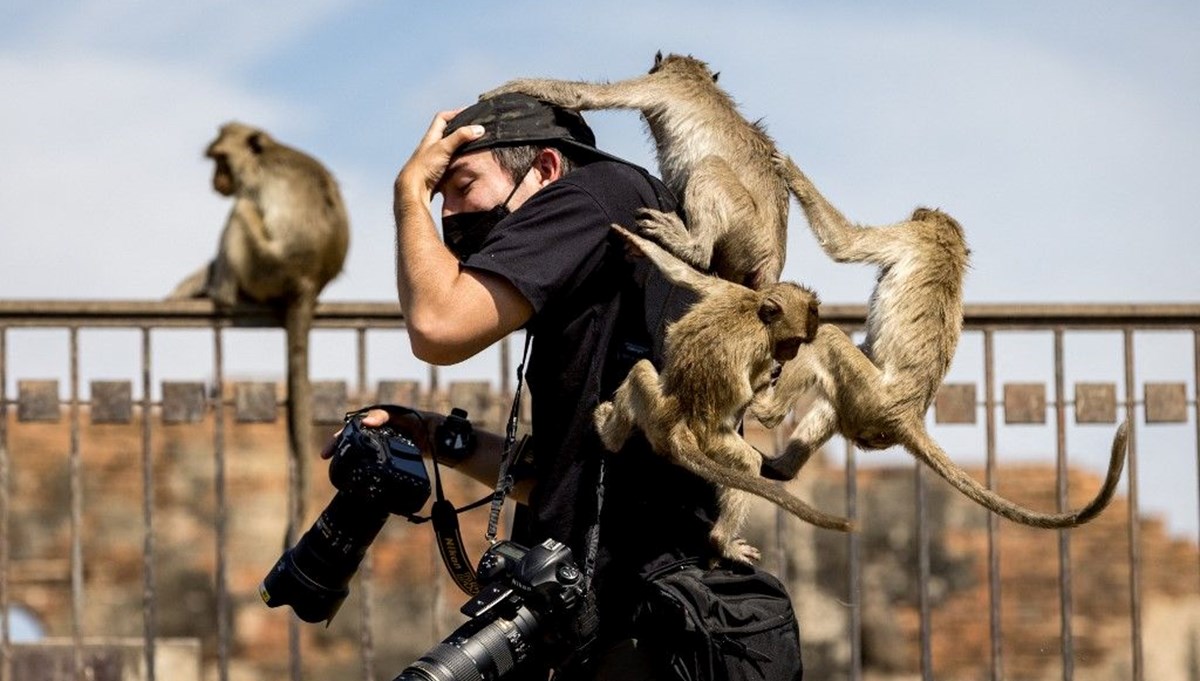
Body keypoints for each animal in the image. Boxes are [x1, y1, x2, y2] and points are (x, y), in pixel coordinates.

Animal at [169, 121, 350, 537]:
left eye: (221, 160)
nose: (216, 179)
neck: (263, 154)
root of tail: (308, 282)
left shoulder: (252, 185)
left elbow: (241, 209)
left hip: (265, 265)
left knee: (240, 212)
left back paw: (221, 293)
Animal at [482, 50, 792, 290]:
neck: (696, 77)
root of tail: (773, 256)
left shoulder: (664, 83)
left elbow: (586, 96)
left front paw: (506, 88)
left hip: (746, 227)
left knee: (710, 167)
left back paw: (693, 247)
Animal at [592, 221, 854, 563]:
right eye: (793, 342)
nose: (790, 355)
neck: (755, 312)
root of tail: (678, 429)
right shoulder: (759, 344)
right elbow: (752, 400)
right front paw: (766, 383)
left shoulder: (731, 291)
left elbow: (682, 275)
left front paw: (640, 244)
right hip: (709, 441)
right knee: (745, 462)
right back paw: (721, 541)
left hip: (655, 411)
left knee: (640, 371)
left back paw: (609, 436)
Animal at [748, 151, 1123, 529]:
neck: (949, 244)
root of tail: (908, 416)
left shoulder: (910, 235)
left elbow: (845, 244)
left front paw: (790, 170)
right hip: (866, 407)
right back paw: (780, 469)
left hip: (873, 397)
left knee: (826, 339)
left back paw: (766, 410)